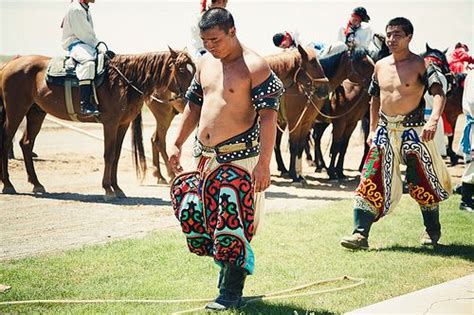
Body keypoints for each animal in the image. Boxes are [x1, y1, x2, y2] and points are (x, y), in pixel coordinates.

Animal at [0, 47, 194, 199]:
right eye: (182, 70)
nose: (193, 94)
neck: (124, 81)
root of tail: (10, 64)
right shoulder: (110, 124)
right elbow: (108, 155)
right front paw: (108, 189)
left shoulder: (122, 125)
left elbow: (116, 155)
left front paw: (117, 188)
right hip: (16, 110)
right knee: (6, 141)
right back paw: (8, 184)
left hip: (36, 113)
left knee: (26, 143)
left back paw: (36, 183)